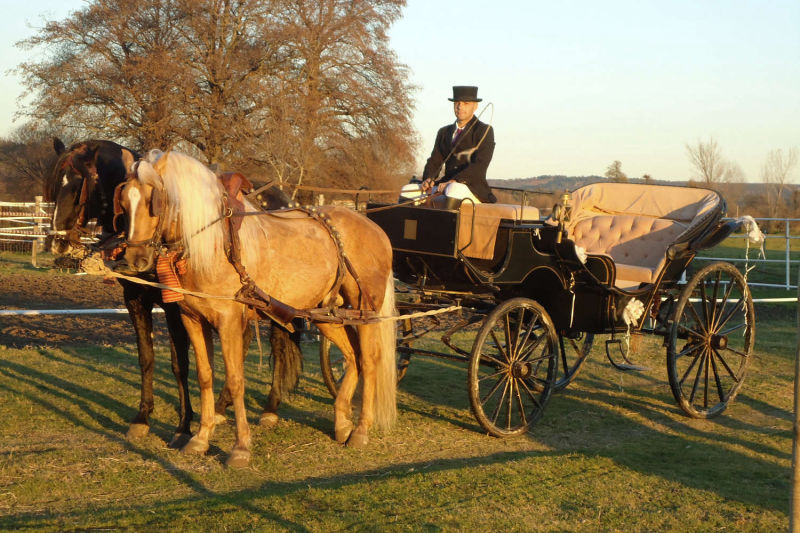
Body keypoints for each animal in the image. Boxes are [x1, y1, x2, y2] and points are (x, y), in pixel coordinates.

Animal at [47, 137, 304, 444]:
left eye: (78, 186)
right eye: (54, 186)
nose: (57, 243)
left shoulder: (174, 305)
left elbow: (180, 363)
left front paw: (184, 426)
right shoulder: (135, 299)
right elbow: (146, 358)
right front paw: (142, 418)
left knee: (278, 343)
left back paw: (270, 408)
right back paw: (222, 406)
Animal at [120, 150, 398, 466]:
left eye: (155, 200)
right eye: (124, 201)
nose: (136, 259)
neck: (215, 246)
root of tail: (373, 227)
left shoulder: (228, 321)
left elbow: (235, 379)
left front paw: (240, 447)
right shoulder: (192, 318)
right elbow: (205, 376)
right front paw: (200, 439)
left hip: (366, 310)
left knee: (369, 360)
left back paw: (361, 430)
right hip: (326, 314)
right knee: (352, 357)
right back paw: (342, 422)